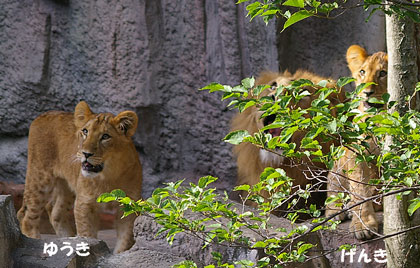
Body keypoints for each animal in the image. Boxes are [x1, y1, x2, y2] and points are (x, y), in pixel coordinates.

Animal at [17, 101, 143, 253]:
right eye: (85, 131)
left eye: (105, 136)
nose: (86, 153)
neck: (109, 175)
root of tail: (42, 115)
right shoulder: (85, 203)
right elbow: (87, 235)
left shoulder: (128, 205)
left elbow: (125, 241)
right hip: (40, 177)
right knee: (27, 217)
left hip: (67, 186)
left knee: (56, 213)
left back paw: (68, 239)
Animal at [326, 44, 388, 241]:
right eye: (362, 72)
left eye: (383, 73)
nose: (367, 93)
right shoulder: (357, 153)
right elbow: (360, 191)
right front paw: (363, 225)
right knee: (333, 185)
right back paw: (336, 210)